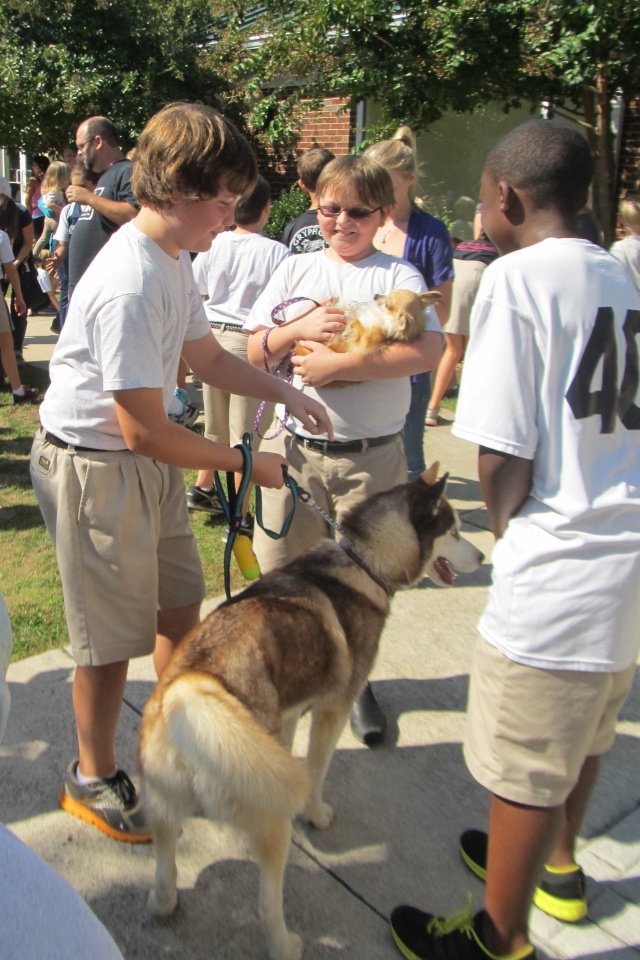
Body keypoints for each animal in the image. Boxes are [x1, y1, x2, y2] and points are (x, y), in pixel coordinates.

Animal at [138, 464, 482, 960]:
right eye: (453, 530)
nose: (482, 554)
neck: (363, 560)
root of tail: (189, 690)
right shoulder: (331, 711)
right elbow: (317, 773)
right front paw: (316, 815)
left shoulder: (286, 716)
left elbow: (288, 744)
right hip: (269, 823)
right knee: (266, 904)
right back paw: (286, 943)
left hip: (165, 810)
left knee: (165, 881)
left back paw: (164, 898)